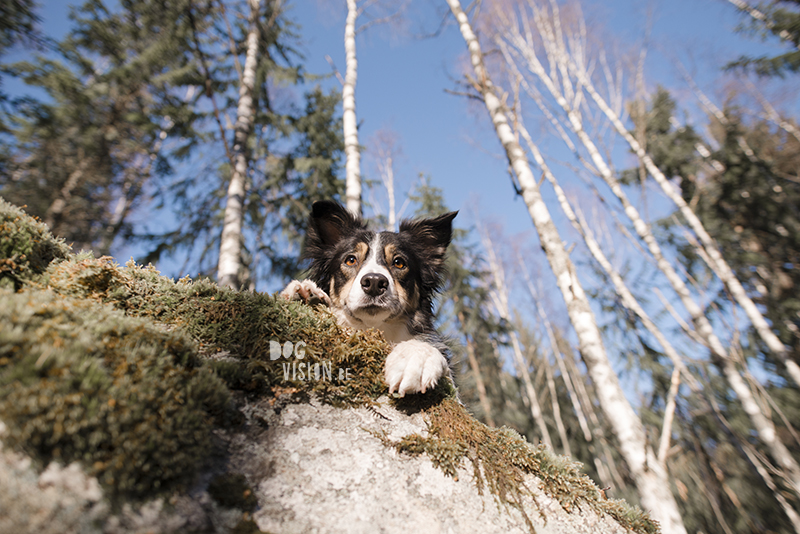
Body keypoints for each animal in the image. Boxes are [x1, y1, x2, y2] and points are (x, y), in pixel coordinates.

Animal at [280, 201, 456, 398]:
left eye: (399, 263)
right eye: (350, 260)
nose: (374, 283)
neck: (374, 328)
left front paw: (414, 359)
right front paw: (304, 293)